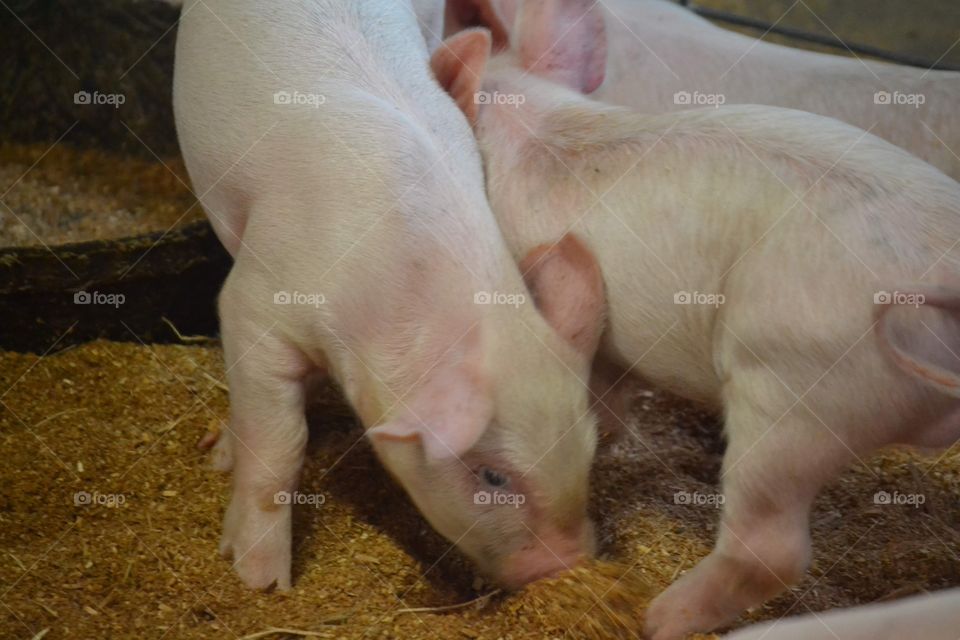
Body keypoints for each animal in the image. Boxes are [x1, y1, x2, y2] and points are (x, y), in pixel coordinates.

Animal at [173, 0, 605, 592]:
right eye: (493, 476)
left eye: (590, 450)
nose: (566, 564)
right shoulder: (253, 305)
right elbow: (281, 439)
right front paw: (262, 581)